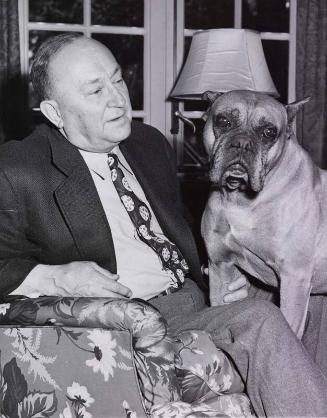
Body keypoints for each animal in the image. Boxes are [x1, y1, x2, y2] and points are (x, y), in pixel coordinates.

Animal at [202, 90, 327, 338]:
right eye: (223, 121)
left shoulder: (294, 279)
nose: (241, 143)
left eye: (269, 132)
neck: (240, 201)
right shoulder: (221, 266)